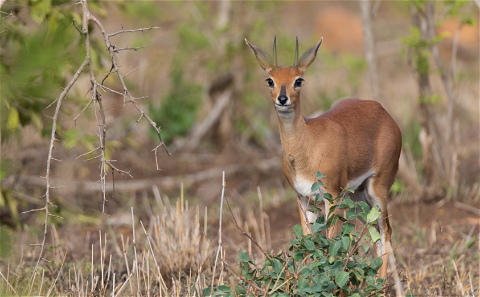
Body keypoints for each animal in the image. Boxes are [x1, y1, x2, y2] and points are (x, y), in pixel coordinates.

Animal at [246, 36, 404, 276]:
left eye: (298, 80)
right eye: (270, 80)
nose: (282, 99)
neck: (308, 148)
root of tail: (386, 114)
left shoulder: (333, 196)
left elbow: (330, 243)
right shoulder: (304, 199)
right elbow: (309, 242)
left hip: (377, 188)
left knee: (385, 230)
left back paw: (381, 281)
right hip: (358, 196)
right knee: (375, 231)